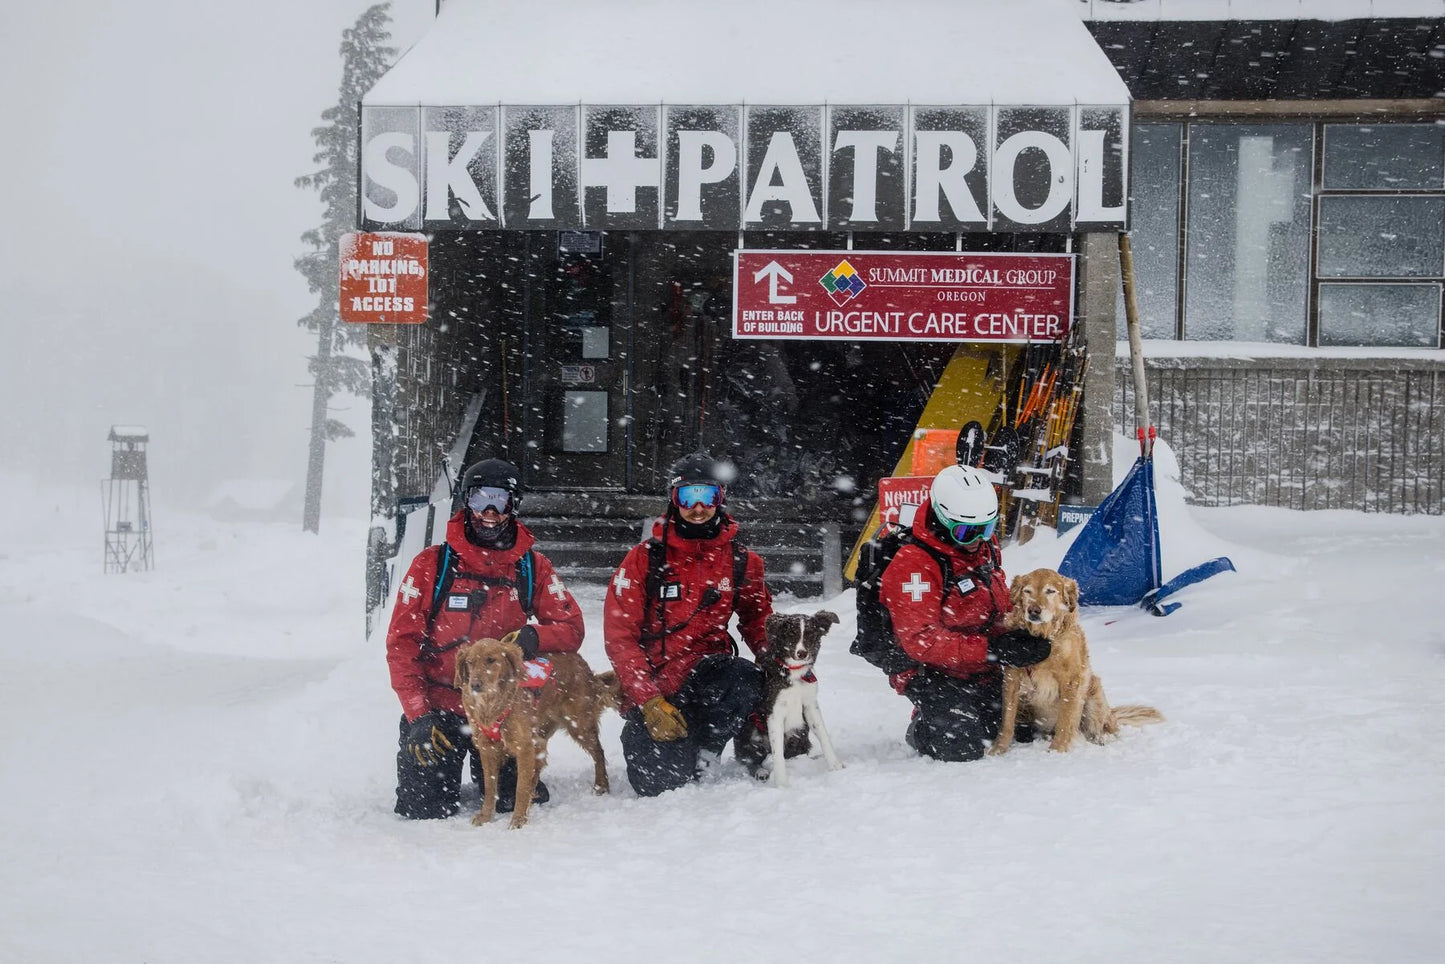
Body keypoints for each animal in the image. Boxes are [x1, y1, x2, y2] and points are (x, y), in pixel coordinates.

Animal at [453, 633, 618, 832]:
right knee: (538, 768)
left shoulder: (523, 746)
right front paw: (485, 816)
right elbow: (490, 786)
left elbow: (520, 787)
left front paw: (518, 819)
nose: (475, 685)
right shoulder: (487, 747)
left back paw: (601, 785)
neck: (492, 704)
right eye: (470, 662)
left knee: (598, 753)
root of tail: (581, 662)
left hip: (579, 726)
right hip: (541, 736)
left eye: (491, 660)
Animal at [994, 569, 1161, 757]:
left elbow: (1065, 721)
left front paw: (1057, 751)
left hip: (1094, 693)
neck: (1042, 637)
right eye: (1027, 591)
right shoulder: (1012, 678)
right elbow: (1007, 721)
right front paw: (997, 750)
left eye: (1050, 591)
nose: (1033, 611)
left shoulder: (1071, 680)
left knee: (1103, 730)